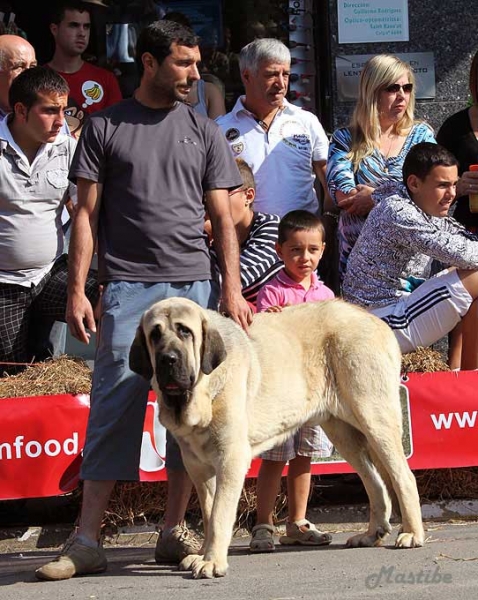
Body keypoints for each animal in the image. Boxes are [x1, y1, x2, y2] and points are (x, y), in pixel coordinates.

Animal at [129, 296, 424, 576]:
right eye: (155, 334)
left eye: (184, 331)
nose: (168, 359)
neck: (203, 390)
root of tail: (375, 321)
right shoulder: (197, 466)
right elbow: (210, 511)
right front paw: (202, 555)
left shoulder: (231, 460)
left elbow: (220, 515)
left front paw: (212, 562)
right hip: (344, 433)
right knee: (376, 483)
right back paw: (371, 534)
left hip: (374, 418)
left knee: (403, 477)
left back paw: (412, 533)